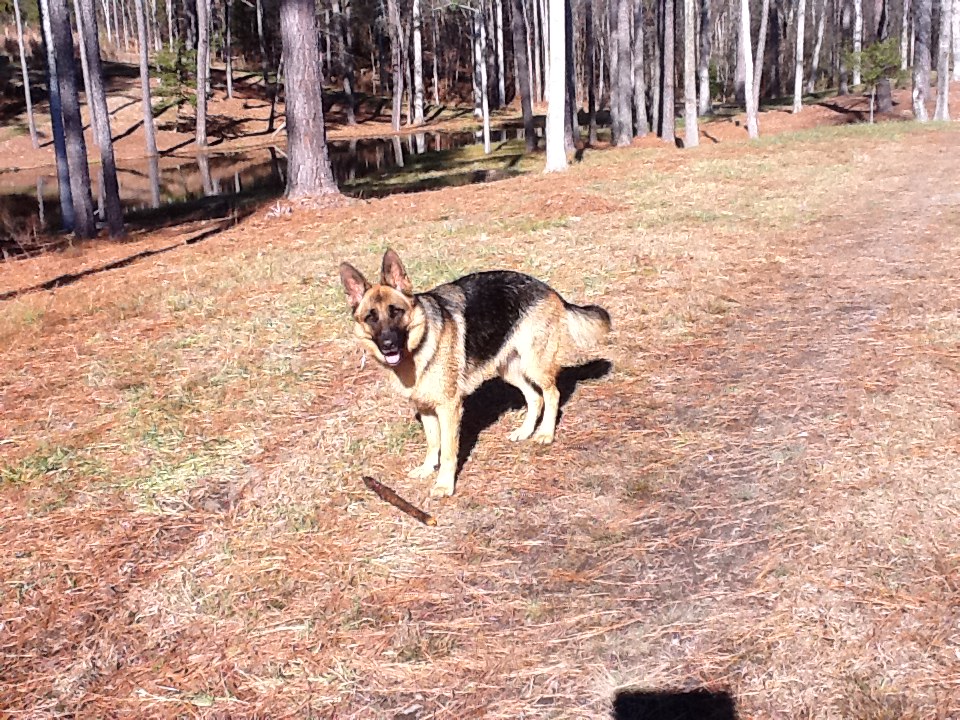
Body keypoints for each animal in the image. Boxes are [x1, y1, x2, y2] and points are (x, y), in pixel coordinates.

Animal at [340, 250, 608, 498]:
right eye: (371, 318)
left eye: (395, 311)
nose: (388, 345)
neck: (417, 349)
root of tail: (546, 287)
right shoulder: (426, 409)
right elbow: (432, 443)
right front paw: (427, 468)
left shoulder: (449, 409)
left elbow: (448, 451)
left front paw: (444, 485)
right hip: (508, 368)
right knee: (535, 397)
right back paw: (524, 431)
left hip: (535, 365)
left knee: (552, 394)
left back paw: (545, 434)